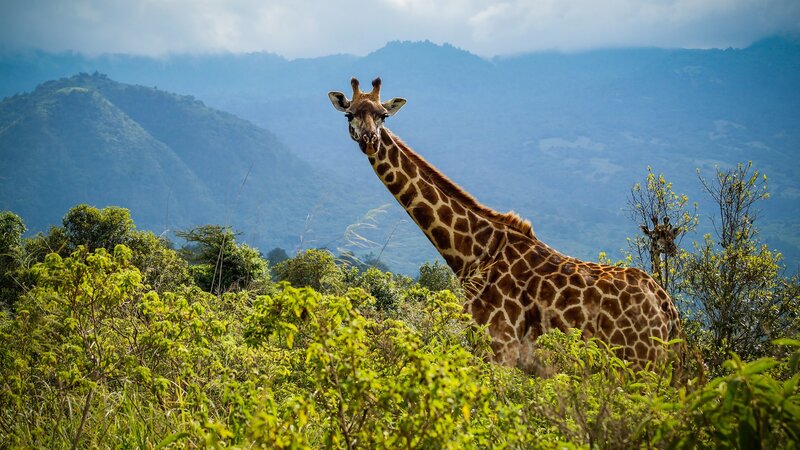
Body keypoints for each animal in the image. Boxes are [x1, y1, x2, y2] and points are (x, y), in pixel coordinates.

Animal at [328, 77, 684, 373]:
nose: (370, 139)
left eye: (383, 116)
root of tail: (667, 308)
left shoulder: (502, 347)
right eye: (350, 115)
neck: (474, 253)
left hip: (638, 362)